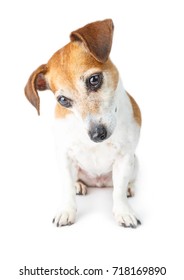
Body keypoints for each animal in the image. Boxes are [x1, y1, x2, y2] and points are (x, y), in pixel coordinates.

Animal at [24, 18, 141, 228]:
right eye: (63, 100)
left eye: (94, 79)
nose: (97, 134)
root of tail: (98, 182)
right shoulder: (65, 156)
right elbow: (67, 189)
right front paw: (66, 210)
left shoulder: (125, 157)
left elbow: (118, 192)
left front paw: (124, 211)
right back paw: (79, 185)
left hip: (135, 164)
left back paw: (129, 187)